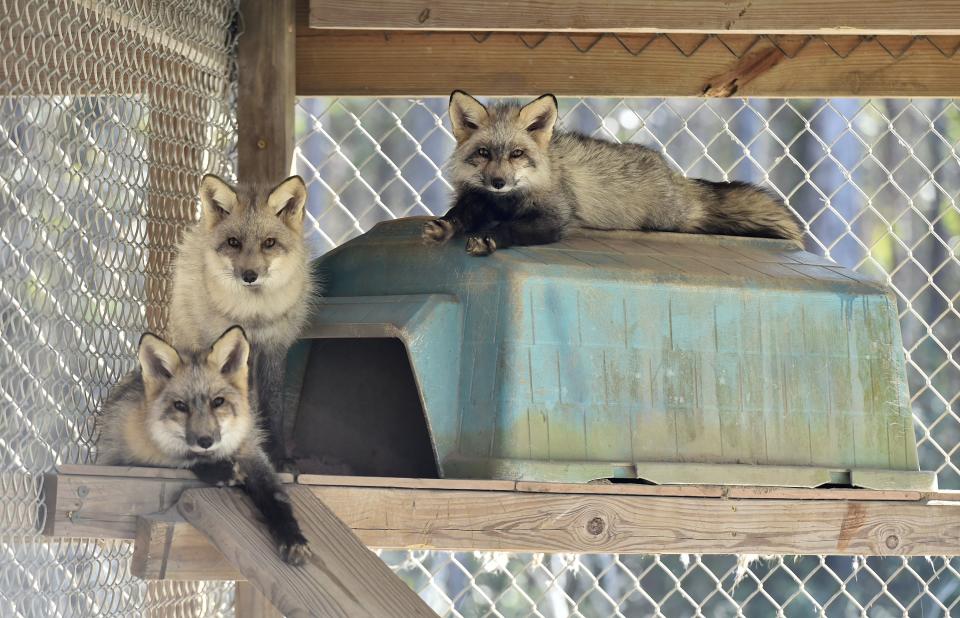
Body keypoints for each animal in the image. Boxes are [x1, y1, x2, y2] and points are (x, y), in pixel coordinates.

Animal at [97, 328, 308, 564]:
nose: (205, 441)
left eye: (218, 402)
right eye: (180, 406)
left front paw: (292, 536)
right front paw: (221, 471)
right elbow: (178, 460)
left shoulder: (252, 454)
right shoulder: (118, 460)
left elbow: (276, 498)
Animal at [167, 173, 314, 462]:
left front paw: (279, 455)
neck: (252, 315)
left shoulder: (274, 347)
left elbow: (273, 407)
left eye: (269, 243)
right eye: (234, 242)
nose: (249, 275)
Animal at [424, 91, 808, 255]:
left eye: (517, 154)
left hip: (669, 219)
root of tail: (675, 174)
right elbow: (460, 214)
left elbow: (512, 229)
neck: (506, 201)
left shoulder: (554, 218)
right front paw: (444, 226)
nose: (498, 182)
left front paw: (490, 238)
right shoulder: (478, 197)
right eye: (484, 154)